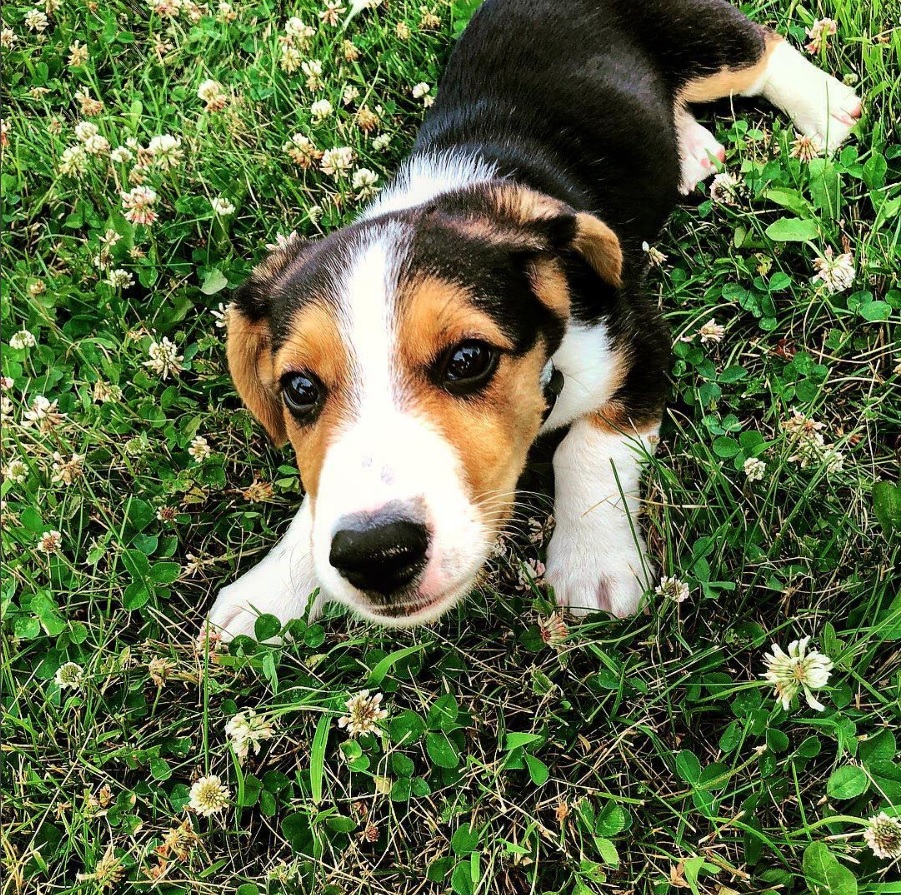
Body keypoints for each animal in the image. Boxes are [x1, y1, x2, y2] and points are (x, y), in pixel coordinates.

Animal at [207, 0, 860, 636]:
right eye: (299, 389)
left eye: (468, 359)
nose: (376, 553)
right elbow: (316, 500)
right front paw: (269, 592)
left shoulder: (639, 344)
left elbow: (587, 449)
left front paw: (594, 563)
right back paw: (694, 147)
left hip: (697, 36)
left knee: (762, 50)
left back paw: (827, 111)